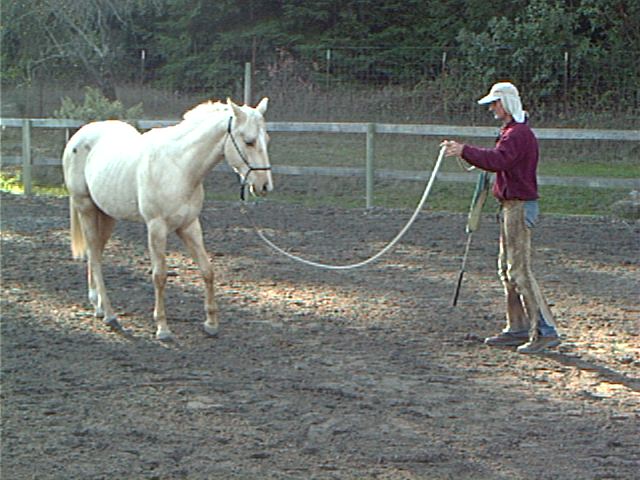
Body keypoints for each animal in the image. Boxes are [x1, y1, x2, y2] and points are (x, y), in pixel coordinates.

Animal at [62, 97, 272, 340]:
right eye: (249, 142)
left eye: (266, 139)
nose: (265, 186)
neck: (178, 166)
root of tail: (79, 136)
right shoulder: (156, 228)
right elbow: (160, 276)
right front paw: (162, 328)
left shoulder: (189, 225)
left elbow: (207, 270)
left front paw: (211, 324)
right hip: (85, 208)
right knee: (95, 258)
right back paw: (110, 315)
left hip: (106, 215)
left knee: (94, 251)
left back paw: (97, 306)